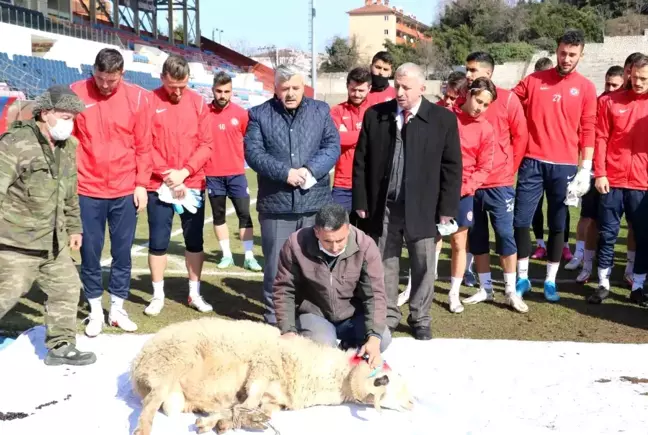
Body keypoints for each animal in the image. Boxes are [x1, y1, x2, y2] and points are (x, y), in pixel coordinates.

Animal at [130, 316, 416, 435]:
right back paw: (143, 430)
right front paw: (215, 422)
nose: (413, 403)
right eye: (390, 381)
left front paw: (222, 422)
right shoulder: (262, 368)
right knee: (150, 404)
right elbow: (246, 403)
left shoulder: (274, 399)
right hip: (170, 364)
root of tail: (138, 363)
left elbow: (254, 409)